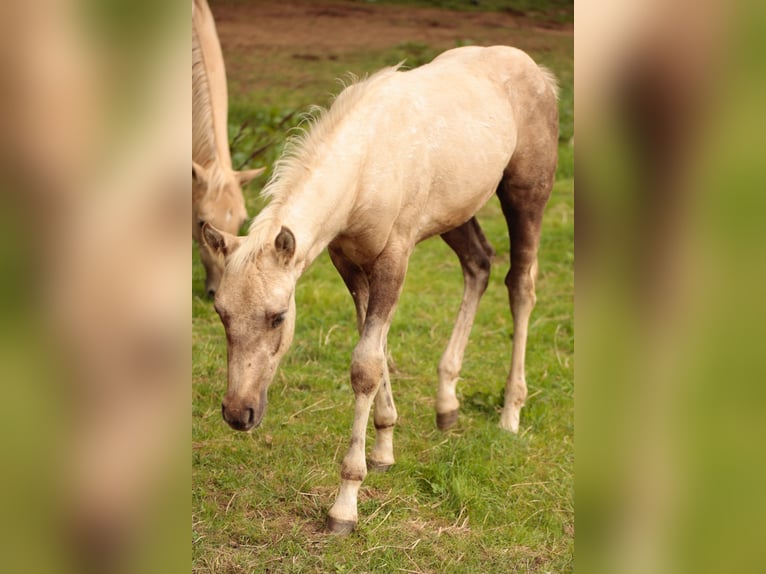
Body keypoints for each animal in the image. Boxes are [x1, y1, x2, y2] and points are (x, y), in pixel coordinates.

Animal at [201, 45, 560, 536]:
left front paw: (345, 505)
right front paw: (385, 446)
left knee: (520, 286)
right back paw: (447, 402)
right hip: (456, 212)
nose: (239, 414)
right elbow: (376, 347)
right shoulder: (348, 262)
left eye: (278, 316)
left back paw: (510, 414)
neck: (367, 163)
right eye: (220, 312)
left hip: (526, 194)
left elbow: (366, 365)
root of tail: (536, 70)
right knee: (479, 264)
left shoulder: (394, 257)